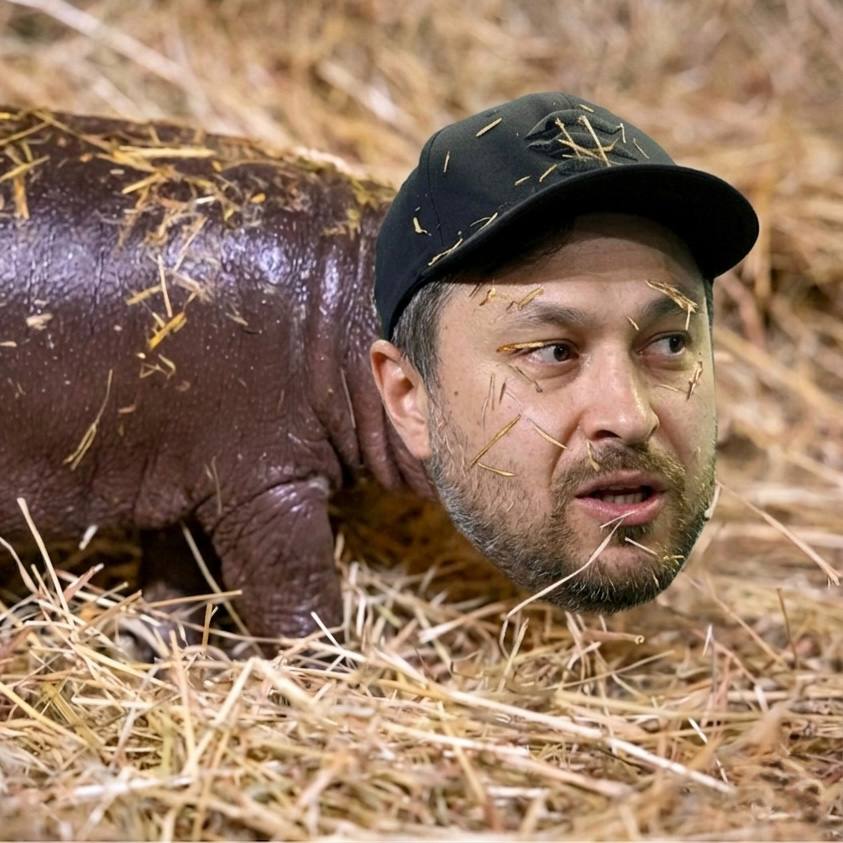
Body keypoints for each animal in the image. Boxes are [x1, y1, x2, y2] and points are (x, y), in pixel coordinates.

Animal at [0, 107, 432, 646]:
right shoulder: (265, 484)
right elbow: (296, 591)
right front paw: (320, 661)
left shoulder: (176, 465)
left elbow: (179, 575)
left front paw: (157, 643)